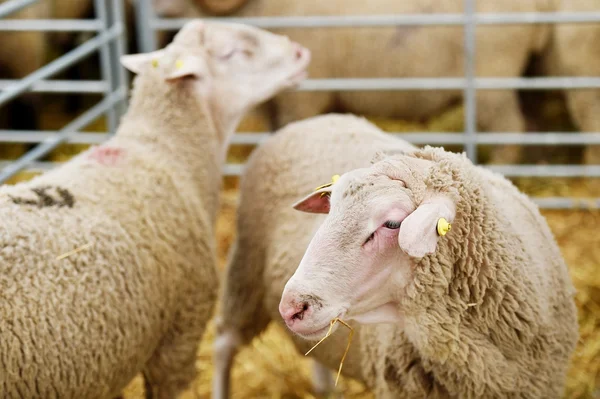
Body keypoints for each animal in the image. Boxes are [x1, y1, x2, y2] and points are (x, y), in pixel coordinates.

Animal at [213, 113, 580, 399]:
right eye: (330, 208)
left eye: (391, 223)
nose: (292, 308)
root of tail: (310, 120)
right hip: (245, 271)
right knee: (223, 344)